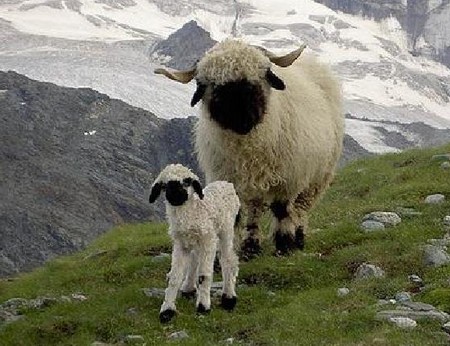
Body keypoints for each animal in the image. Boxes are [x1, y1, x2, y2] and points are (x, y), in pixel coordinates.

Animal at [149, 164, 241, 324]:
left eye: (187, 182)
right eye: (164, 185)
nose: (176, 195)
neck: (193, 212)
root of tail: (226, 183)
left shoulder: (208, 241)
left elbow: (204, 275)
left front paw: (203, 307)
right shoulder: (180, 245)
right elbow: (174, 277)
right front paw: (167, 310)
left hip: (226, 230)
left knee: (227, 260)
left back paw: (228, 297)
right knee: (195, 260)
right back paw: (188, 287)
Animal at [155, 39, 344, 258]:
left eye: (263, 74)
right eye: (209, 85)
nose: (243, 120)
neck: (247, 148)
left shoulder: (288, 177)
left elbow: (282, 210)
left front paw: (284, 245)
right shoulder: (230, 177)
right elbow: (238, 215)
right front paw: (234, 252)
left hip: (317, 177)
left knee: (300, 209)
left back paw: (298, 238)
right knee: (258, 208)